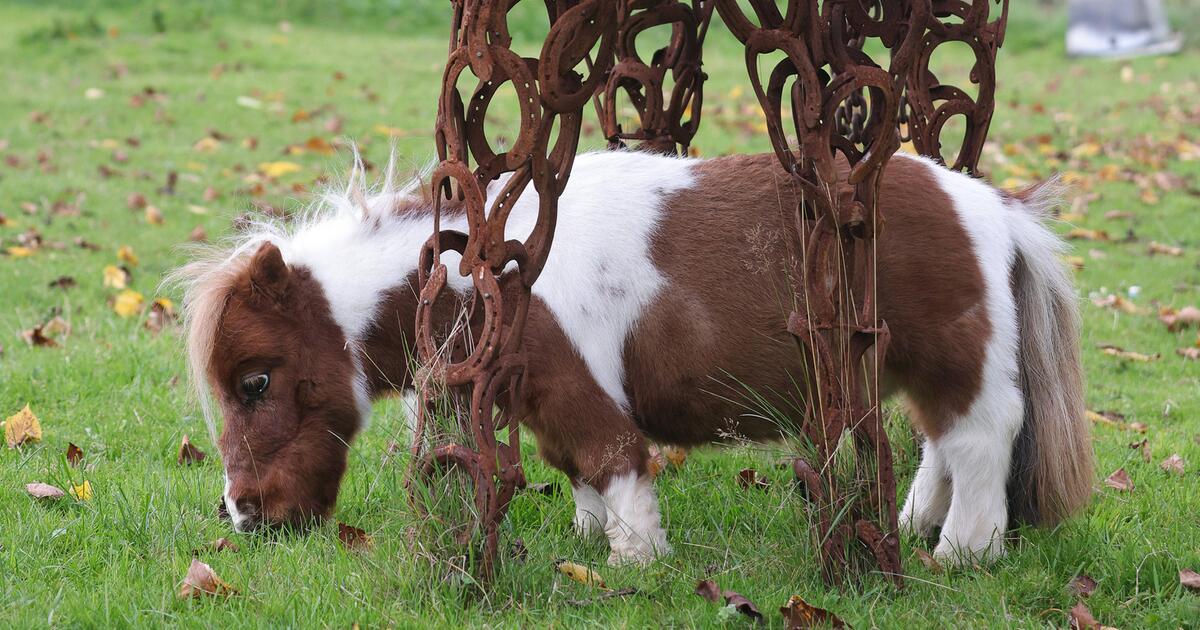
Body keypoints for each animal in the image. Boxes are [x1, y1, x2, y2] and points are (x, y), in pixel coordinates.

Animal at [173, 149, 1094, 566]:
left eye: (256, 381)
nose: (244, 515)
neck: (491, 269)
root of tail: (990, 205)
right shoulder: (538, 399)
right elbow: (574, 469)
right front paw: (590, 541)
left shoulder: (577, 388)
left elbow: (614, 459)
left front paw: (632, 560)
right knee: (940, 448)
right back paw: (910, 527)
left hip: (958, 365)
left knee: (978, 441)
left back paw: (963, 552)